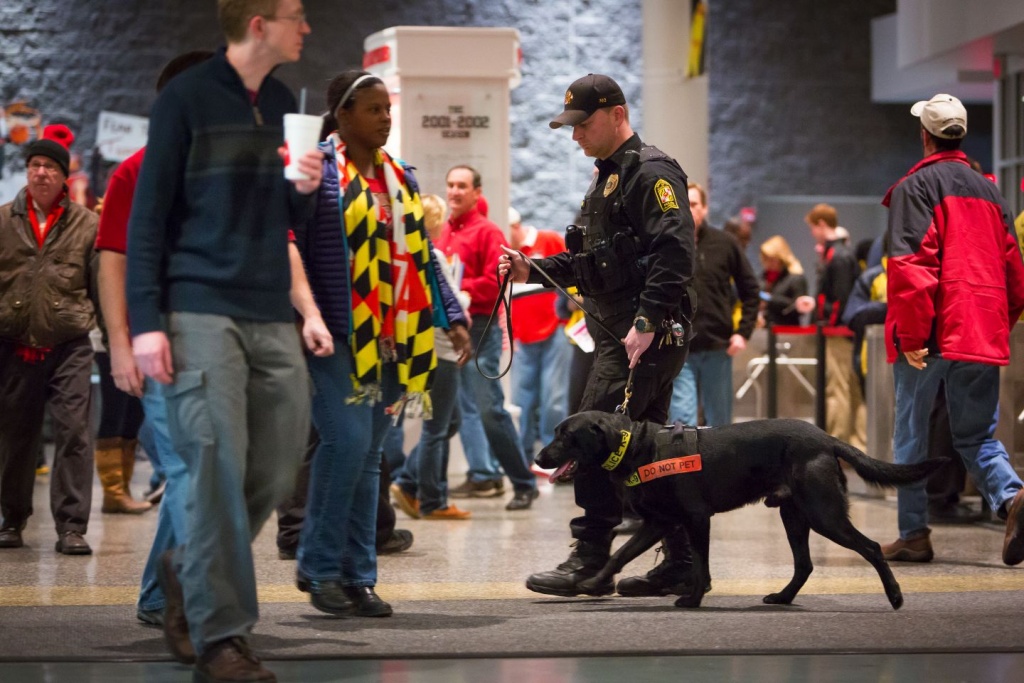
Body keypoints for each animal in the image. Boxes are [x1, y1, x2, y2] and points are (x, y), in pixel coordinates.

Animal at [536, 411, 942, 610]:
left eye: (564, 435)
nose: (538, 458)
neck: (637, 447)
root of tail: (826, 438)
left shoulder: (696, 518)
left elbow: (700, 564)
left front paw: (693, 599)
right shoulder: (658, 522)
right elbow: (620, 554)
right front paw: (592, 582)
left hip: (823, 513)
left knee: (871, 548)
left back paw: (895, 597)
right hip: (793, 515)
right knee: (804, 564)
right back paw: (782, 598)